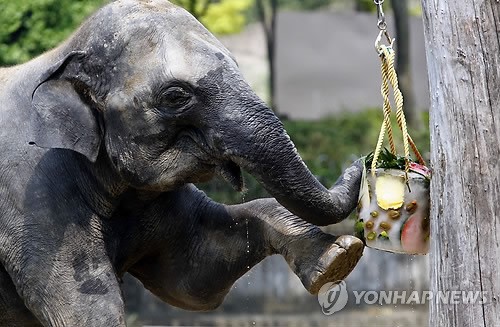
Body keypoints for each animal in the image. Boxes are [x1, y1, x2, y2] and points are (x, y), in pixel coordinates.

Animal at [0, 0, 364, 326]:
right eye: (176, 96)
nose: (360, 162)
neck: (63, 52)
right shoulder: (33, 194)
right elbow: (86, 306)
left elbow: (196, 277)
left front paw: (339, 257)